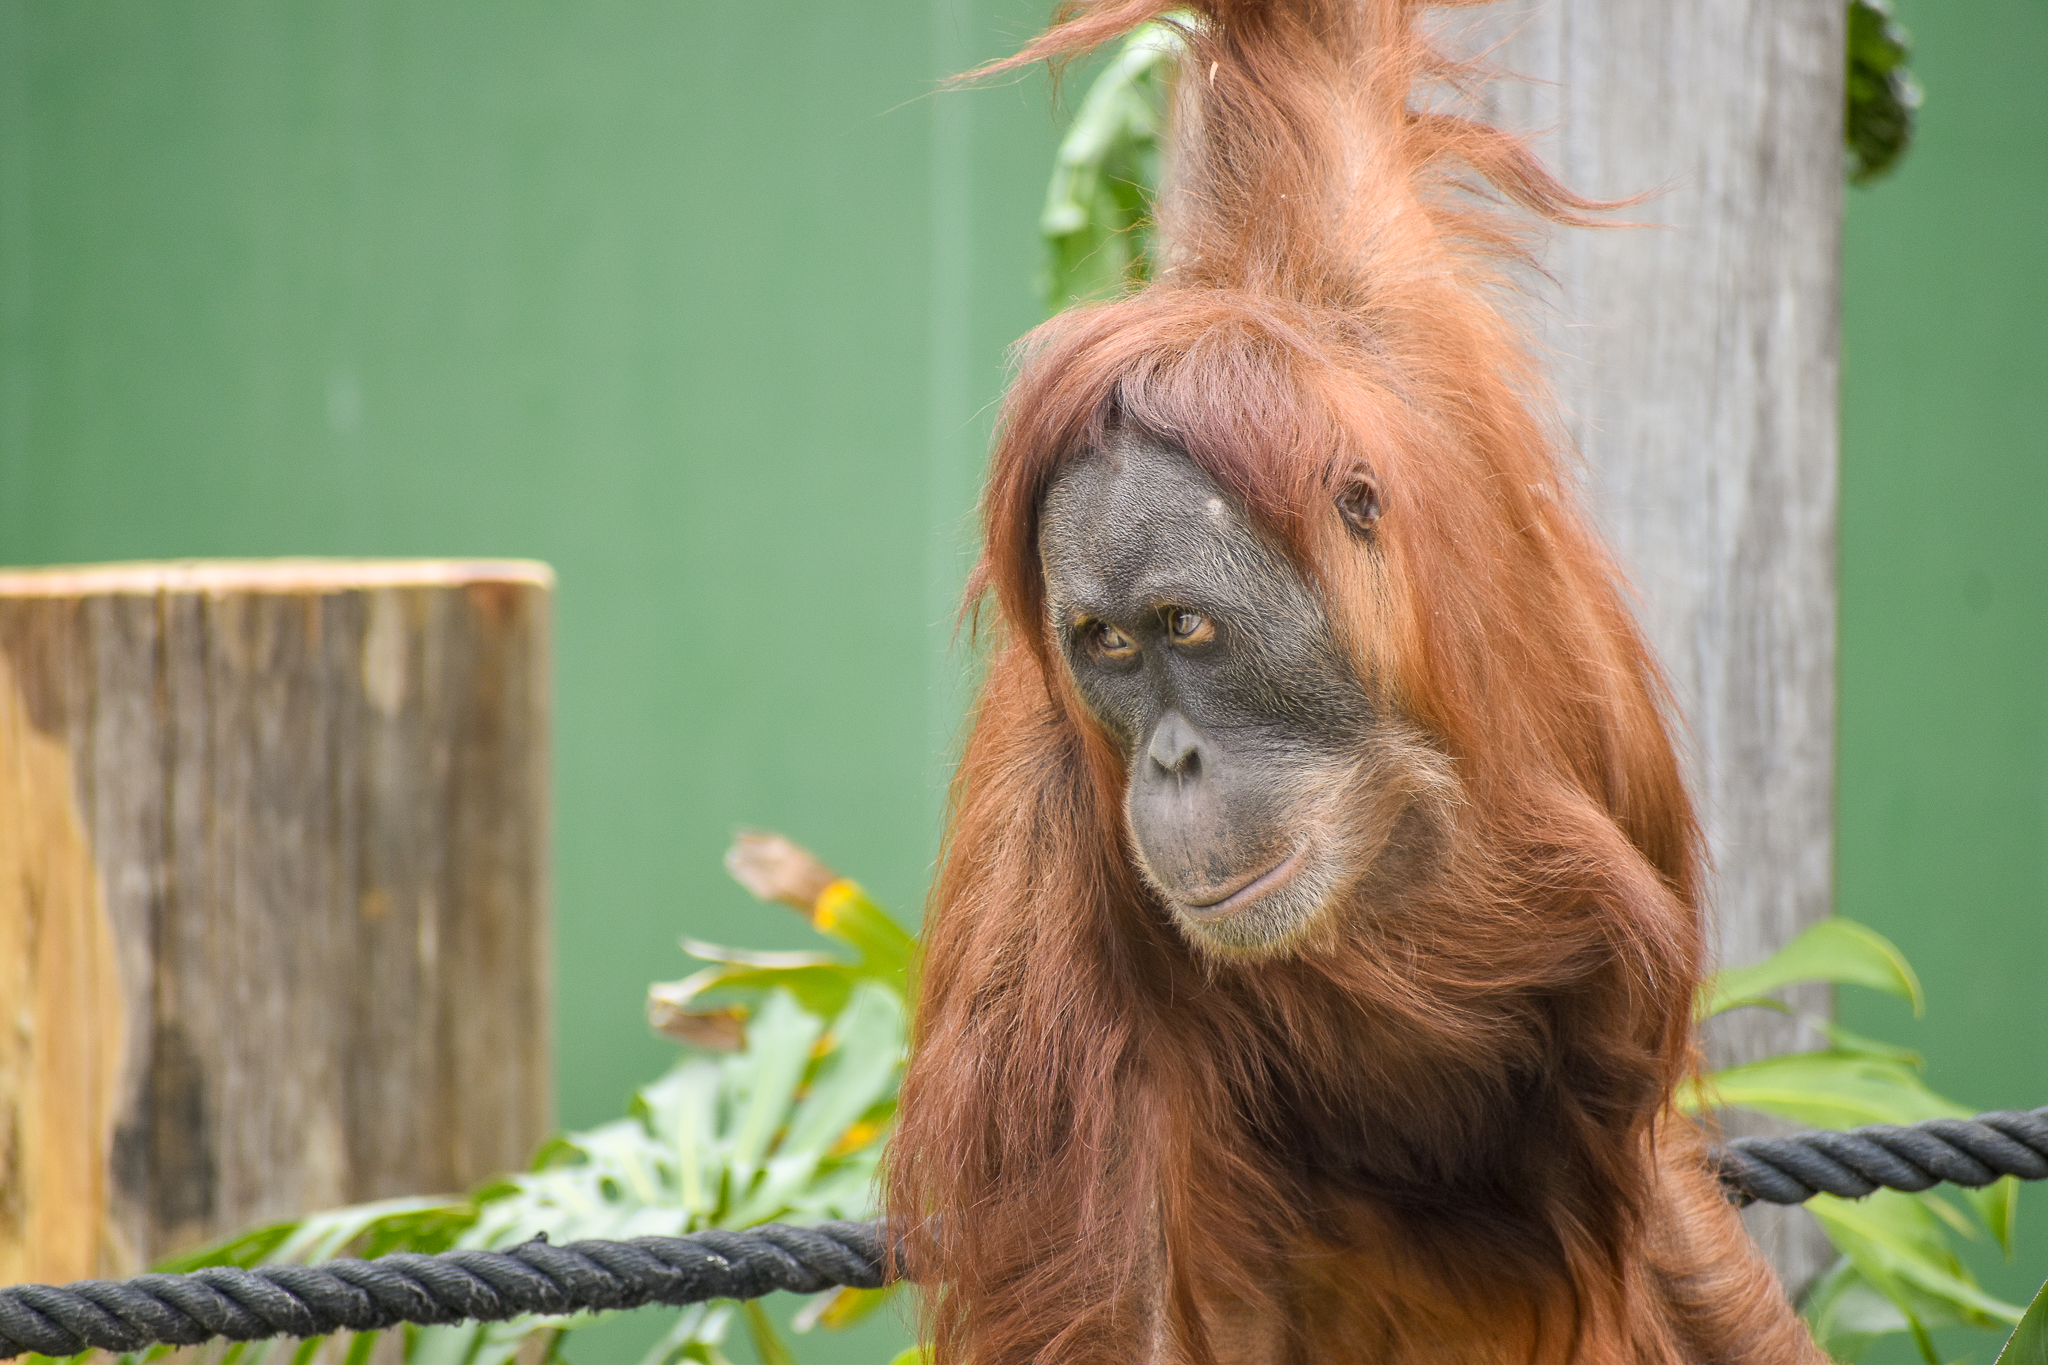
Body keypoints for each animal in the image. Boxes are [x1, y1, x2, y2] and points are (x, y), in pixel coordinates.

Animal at [883, 2, 1831, 1362]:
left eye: (1182, 626)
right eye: (1105, 644)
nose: (1171, 758)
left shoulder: (1347, 264)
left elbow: (1307, 45)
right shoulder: (1051, 873)